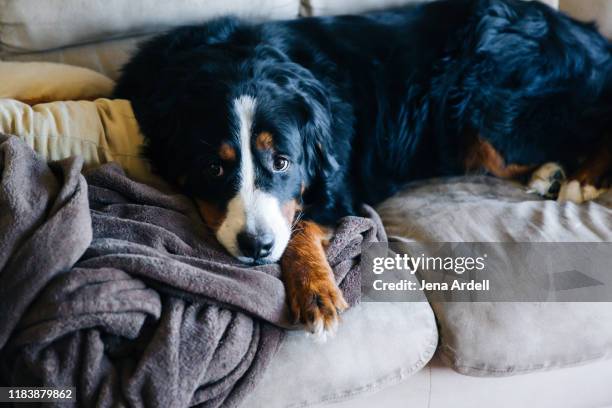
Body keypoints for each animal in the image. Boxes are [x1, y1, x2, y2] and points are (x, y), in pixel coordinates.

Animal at [115, 0, 612, 340]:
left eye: (282, 162)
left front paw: (315, 293)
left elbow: (300, 226)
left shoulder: (337, 182)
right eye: (214, 168)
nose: (256, 245)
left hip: (484, 106)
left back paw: (576, 181)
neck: (234, 55)